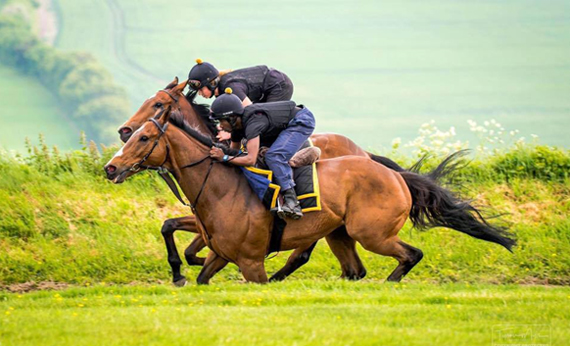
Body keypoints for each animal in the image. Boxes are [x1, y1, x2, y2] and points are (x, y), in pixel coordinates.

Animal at [103, 107, 516, 284]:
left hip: (373, 234)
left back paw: (389, 283)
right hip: (341, 234)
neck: (220, 186)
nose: (111, 167)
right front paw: (180, 271)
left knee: (410, 255)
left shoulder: (251, 262)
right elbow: (193, 259)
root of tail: (396, 175)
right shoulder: (222, 253)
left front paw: (178, 270)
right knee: (354, 270)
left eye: (144, 137)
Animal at [117, 77, 404, 286]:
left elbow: (189, 243)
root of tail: (364, 153)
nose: (124, 130)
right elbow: (172, 228)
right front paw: (188, 267)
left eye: (158, 104)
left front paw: (187, 269)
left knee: (303, 253)